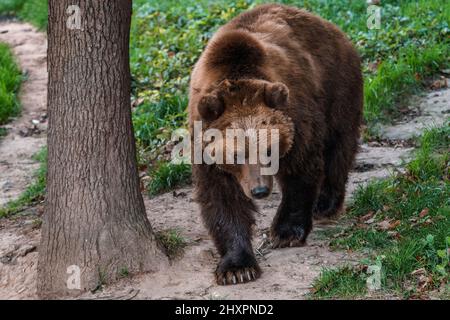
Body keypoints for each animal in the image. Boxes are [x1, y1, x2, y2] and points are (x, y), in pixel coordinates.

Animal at [188, 3, 364, 284]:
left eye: (268, 150)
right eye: (236, 155)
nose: (259, 190)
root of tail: (328, 24)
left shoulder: (296, 116)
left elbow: (301, 169)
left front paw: (285, 232)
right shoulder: (203, 138)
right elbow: (221, 196)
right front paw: (237, 267)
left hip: (338, 85)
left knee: (339, 143)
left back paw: (325, 203)